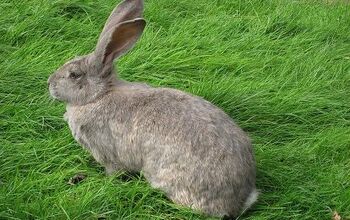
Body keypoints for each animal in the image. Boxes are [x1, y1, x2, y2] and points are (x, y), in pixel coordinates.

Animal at [47, 0, 258, 217]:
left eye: (74, 75)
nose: (49, 84)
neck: (98, 96)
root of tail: (240, 200)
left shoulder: (107, 154)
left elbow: (112, 171)